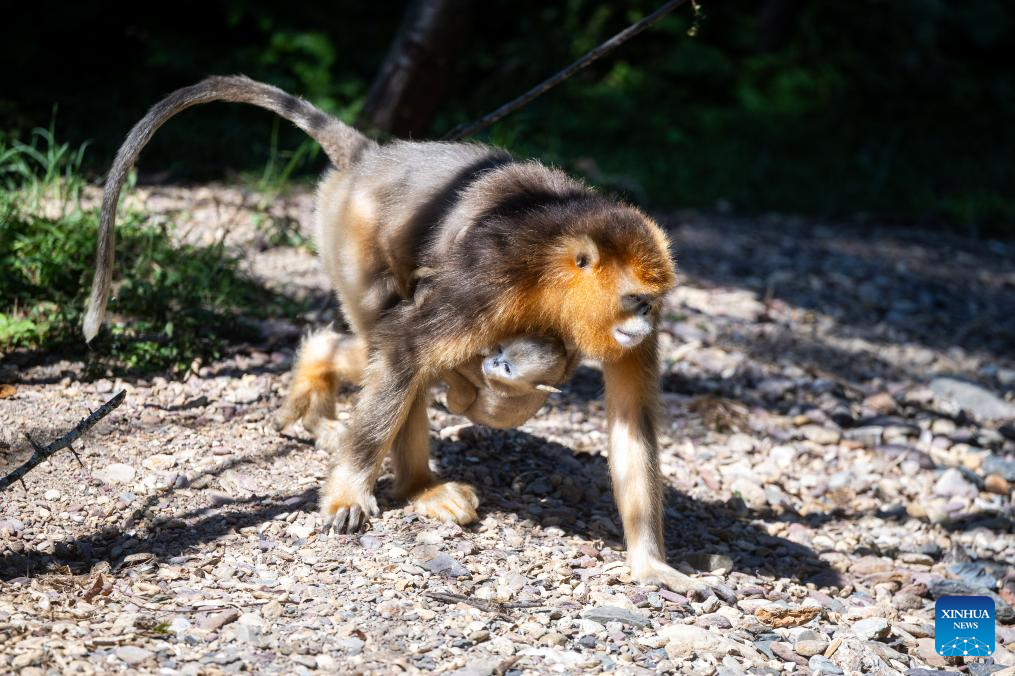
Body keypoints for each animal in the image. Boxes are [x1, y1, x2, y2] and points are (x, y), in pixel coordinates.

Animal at [85, 75, 706, 588]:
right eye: (635, 300)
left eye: (652, 304)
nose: (642, 321)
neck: (555, 271)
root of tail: (372, 156)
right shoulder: (495, 273)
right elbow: (408, 348)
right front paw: (345, 493)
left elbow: (631, 425)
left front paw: (651, 566)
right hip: (348, 228)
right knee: (396, 342)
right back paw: (400, 474)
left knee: (392, 350)